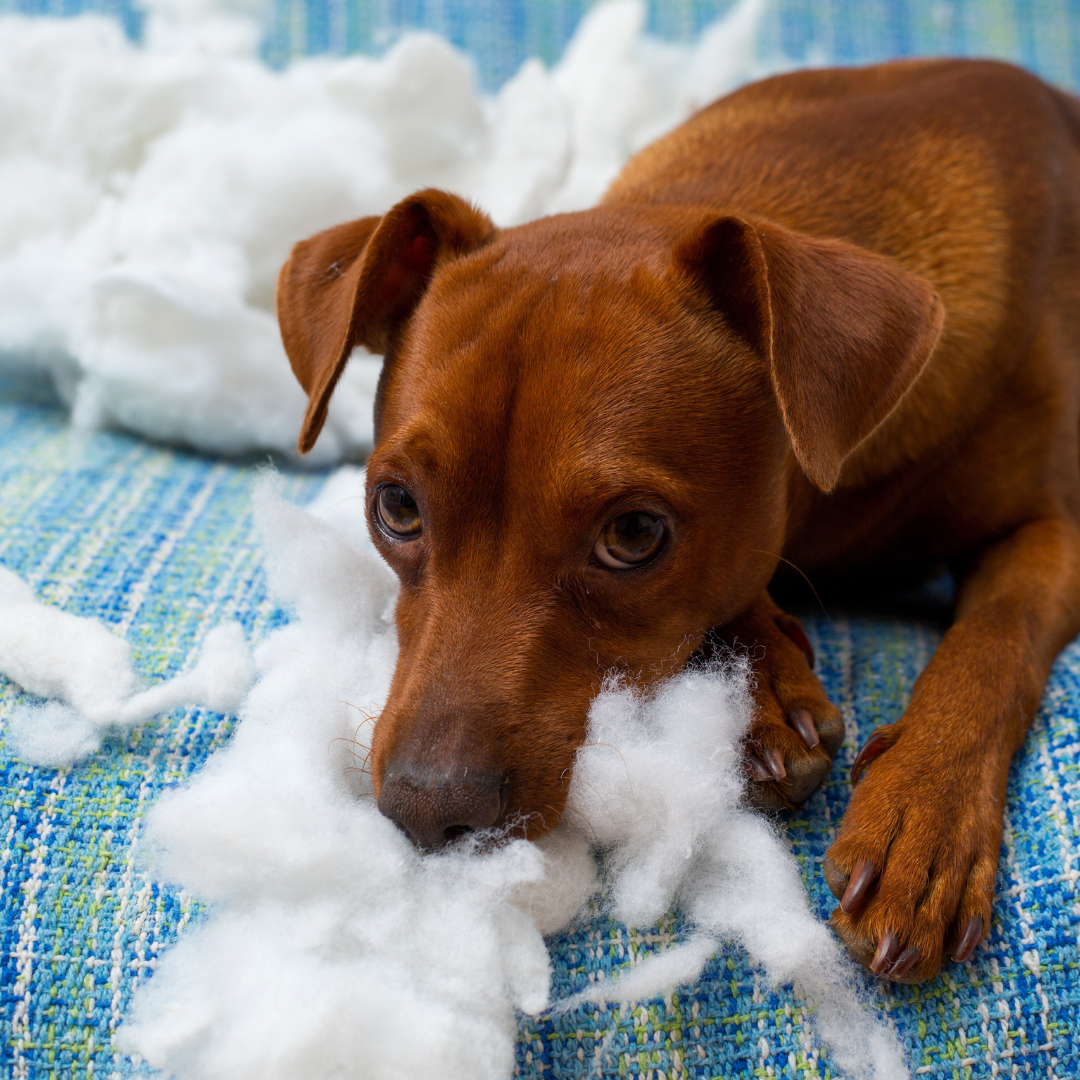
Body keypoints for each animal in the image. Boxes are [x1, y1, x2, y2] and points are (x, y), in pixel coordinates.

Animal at [272, 61, 1080, 989]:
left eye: (633, 536)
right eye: (397, 509)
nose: (426, 810)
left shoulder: (1055, 533)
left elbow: (993, 640)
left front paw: (925, 816)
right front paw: (764, 693)